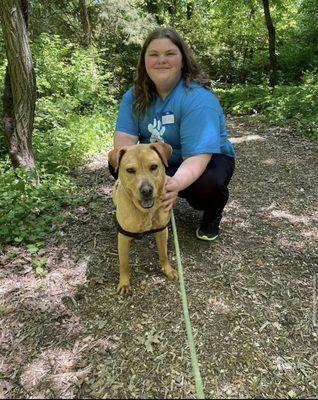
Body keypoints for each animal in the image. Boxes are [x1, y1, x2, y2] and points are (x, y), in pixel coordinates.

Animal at [108, 141, 179, 294]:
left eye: (153, 167)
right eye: (130, 170)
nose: (146, 191)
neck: (146, 212)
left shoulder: (161, 231)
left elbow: (164, 254)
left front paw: (168, 270)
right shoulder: (123, 238)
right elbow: (124, 263)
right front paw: (124, 283)